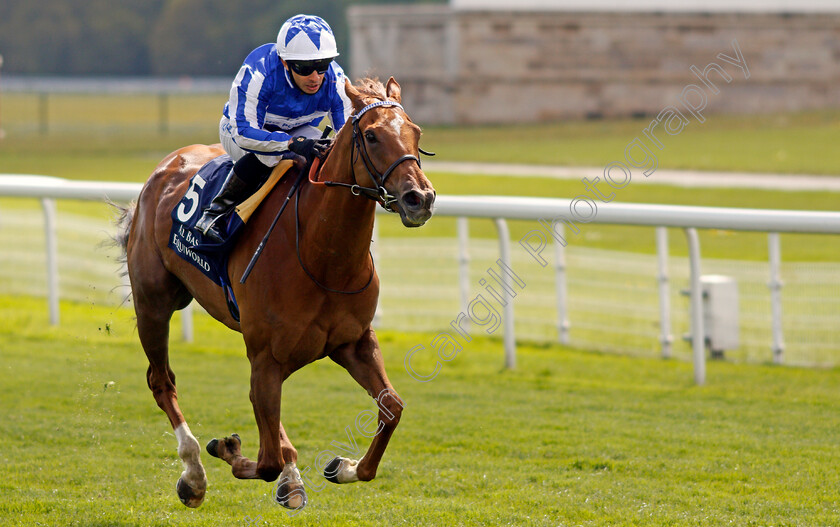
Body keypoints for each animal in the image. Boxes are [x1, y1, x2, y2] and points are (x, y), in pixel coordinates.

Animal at [116, 78, 434, 512]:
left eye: (416, 132)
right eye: (371, 135)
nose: (420, 198)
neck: (322, 256)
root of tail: (164, 167)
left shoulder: (352, 342)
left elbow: (392, 408)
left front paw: (344, 467)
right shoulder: (267, 355)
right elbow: (265, 461)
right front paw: (229, 450)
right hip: (154, 304)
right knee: (162, 381)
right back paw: (194, 475)